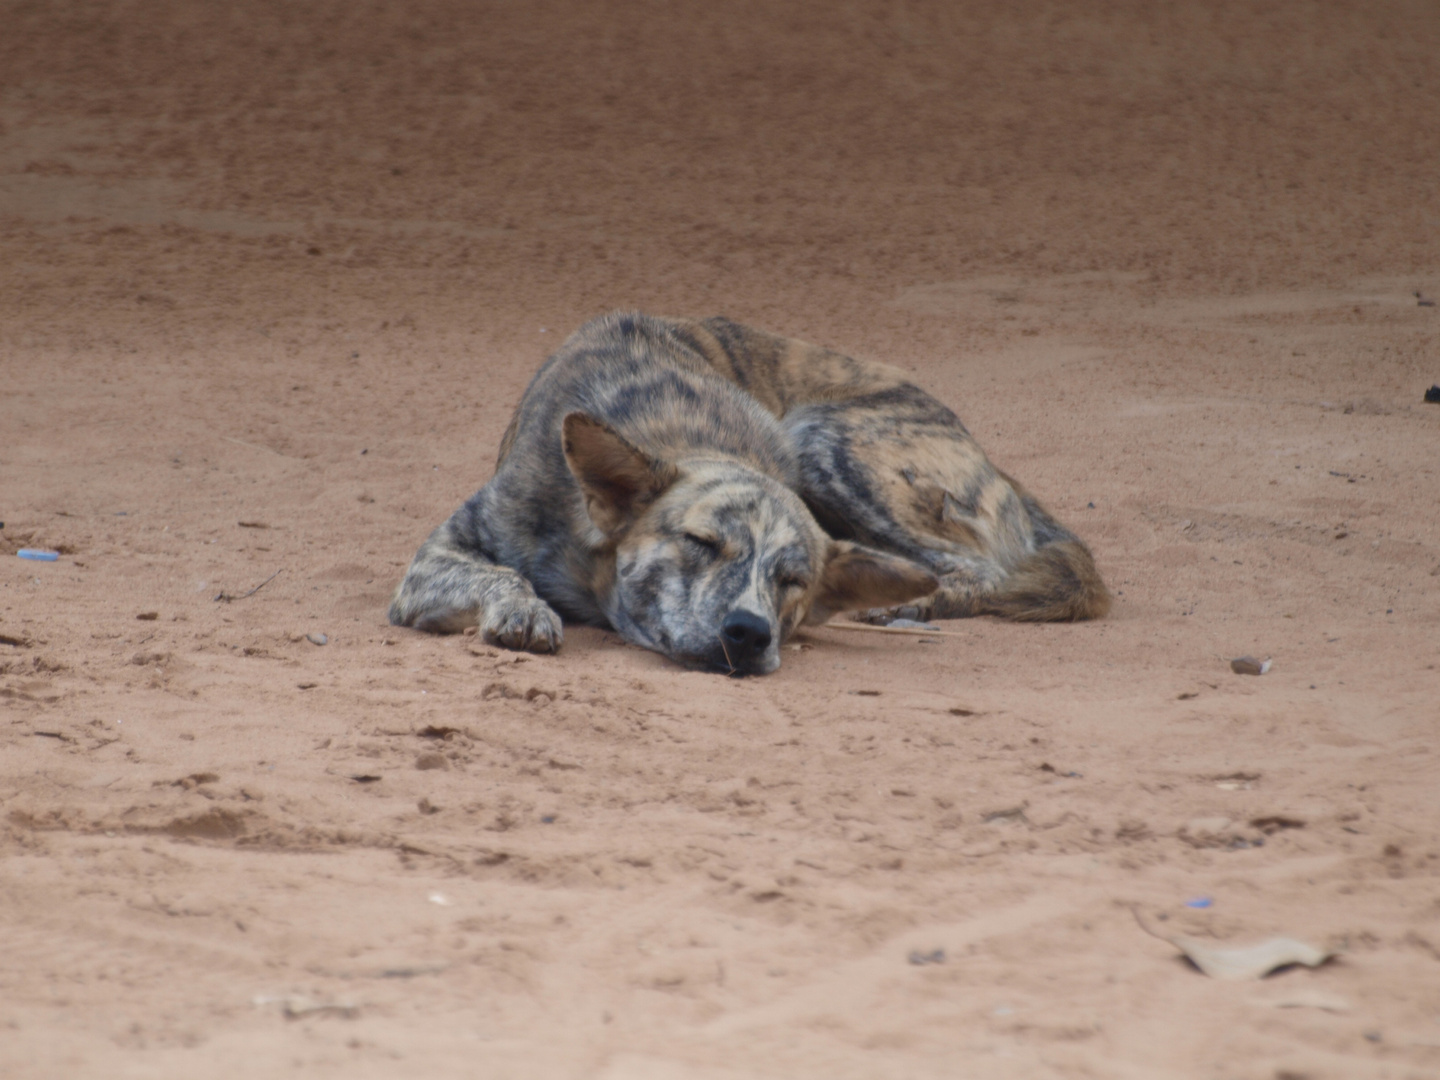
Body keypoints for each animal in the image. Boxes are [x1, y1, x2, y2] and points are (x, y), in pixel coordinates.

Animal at [388, 308, 1105, 673]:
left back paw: (910, 603)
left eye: (794, 580)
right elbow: (500, 574)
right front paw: (525, 609)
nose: (749, 633)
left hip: (822, 438)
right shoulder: (437, 558)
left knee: (977, 569)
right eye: (701, 544)